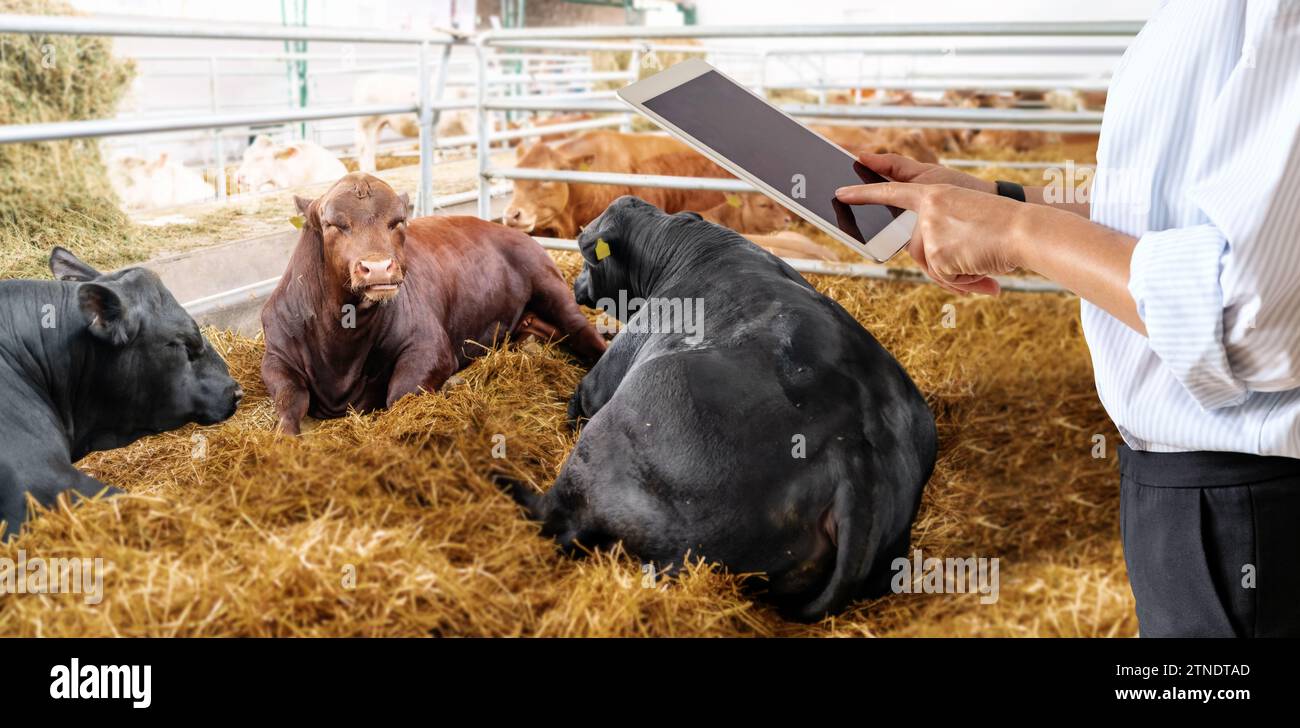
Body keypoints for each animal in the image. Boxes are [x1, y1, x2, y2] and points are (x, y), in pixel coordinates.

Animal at [266, 171, 611, 431]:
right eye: (333, 224)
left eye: (398, 221)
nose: (378, 267)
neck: (341, 346)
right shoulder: (275, 356)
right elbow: (288, 400)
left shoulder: (430, 347)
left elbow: (400, 394)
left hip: (550, 286)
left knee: (585, 333)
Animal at [501, 196, 941, 616]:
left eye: (585, 250)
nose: (576, 283)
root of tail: (855, 455)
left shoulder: (601, 381)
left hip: (614, 441)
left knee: (559, 516)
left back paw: (503, 482)